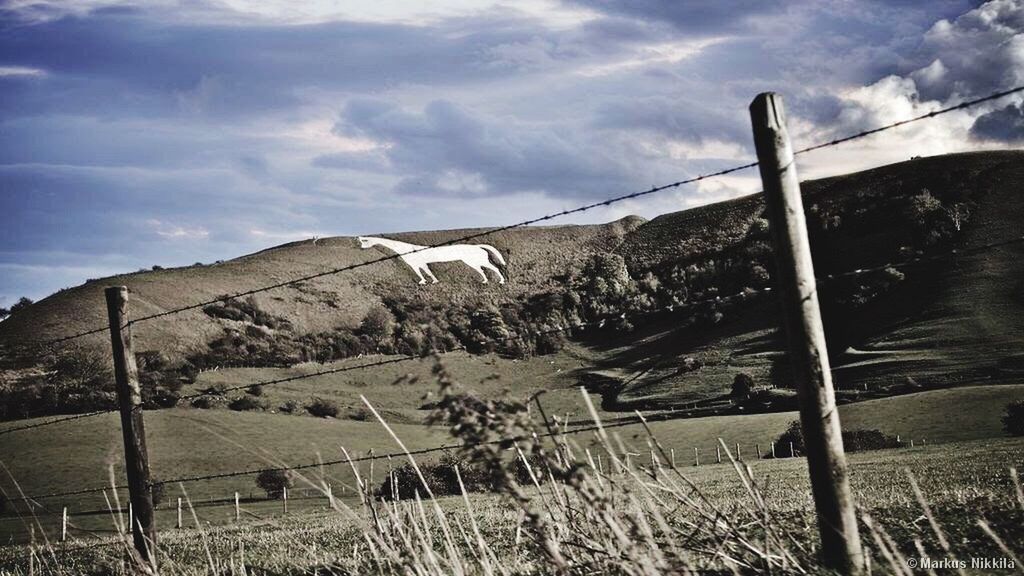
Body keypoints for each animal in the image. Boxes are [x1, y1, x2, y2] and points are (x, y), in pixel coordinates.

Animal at [358, 235, 505, 284]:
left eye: (364, 242)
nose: (361, 248)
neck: (405, 249)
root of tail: (478, 246)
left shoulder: (415, 265)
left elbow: (420, 274)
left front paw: (423, 282)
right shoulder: (422, 263)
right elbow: (428, 272)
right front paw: (434, 281)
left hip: (475, 261)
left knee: (495, 268)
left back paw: (501, 281)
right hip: (474, 262)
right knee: (484, 270)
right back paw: (485, 281)